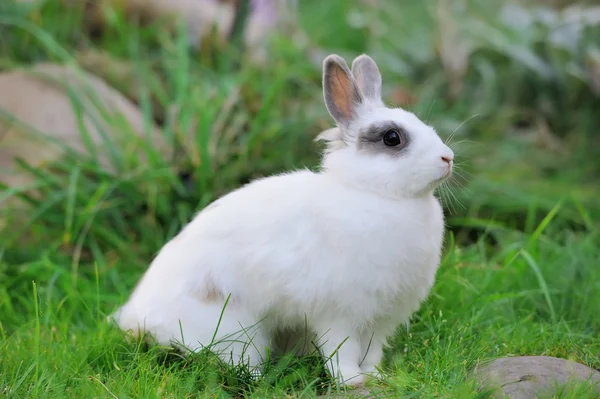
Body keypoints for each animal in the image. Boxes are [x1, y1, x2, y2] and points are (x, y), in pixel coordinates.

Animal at [112, 53, 452, 388]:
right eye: (392, 138)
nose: (448, 157)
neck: (373, 192)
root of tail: (136, 319)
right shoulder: (339, 313)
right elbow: (341, 350)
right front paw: (352, 380)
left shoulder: (381, 319)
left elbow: (372, 351)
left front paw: (377, 376)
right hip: (236, 329)